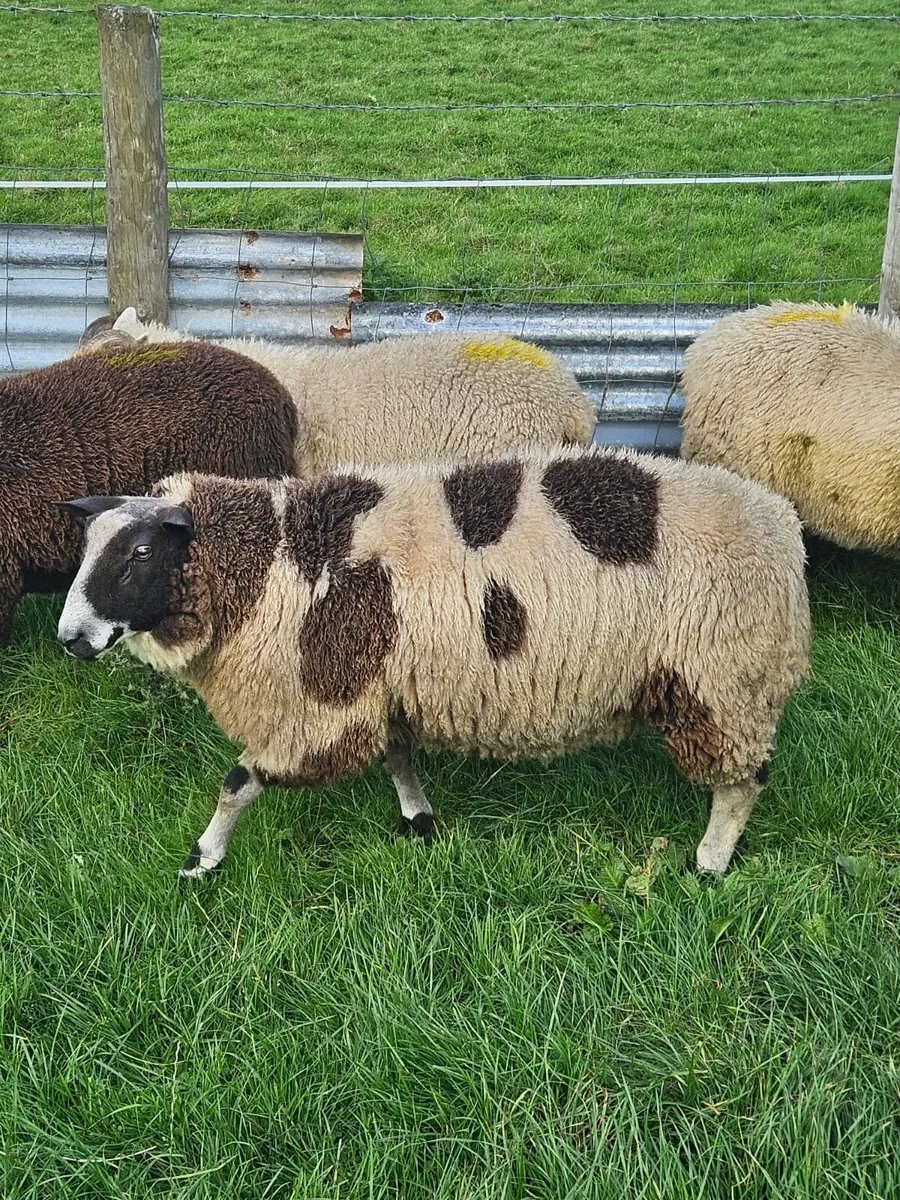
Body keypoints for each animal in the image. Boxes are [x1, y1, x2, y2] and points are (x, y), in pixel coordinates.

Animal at [57, 445, 810, 879]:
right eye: (88, 549)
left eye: (140, 554)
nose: (71, 637)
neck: (273, 563)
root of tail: (781, 523)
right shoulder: (380, 682)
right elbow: (397, 755)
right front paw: (419, 818)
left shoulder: (319, 705)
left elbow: (237, 782)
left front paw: (201, 860)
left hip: (721, 680)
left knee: (744, 781)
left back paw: (710, 863)